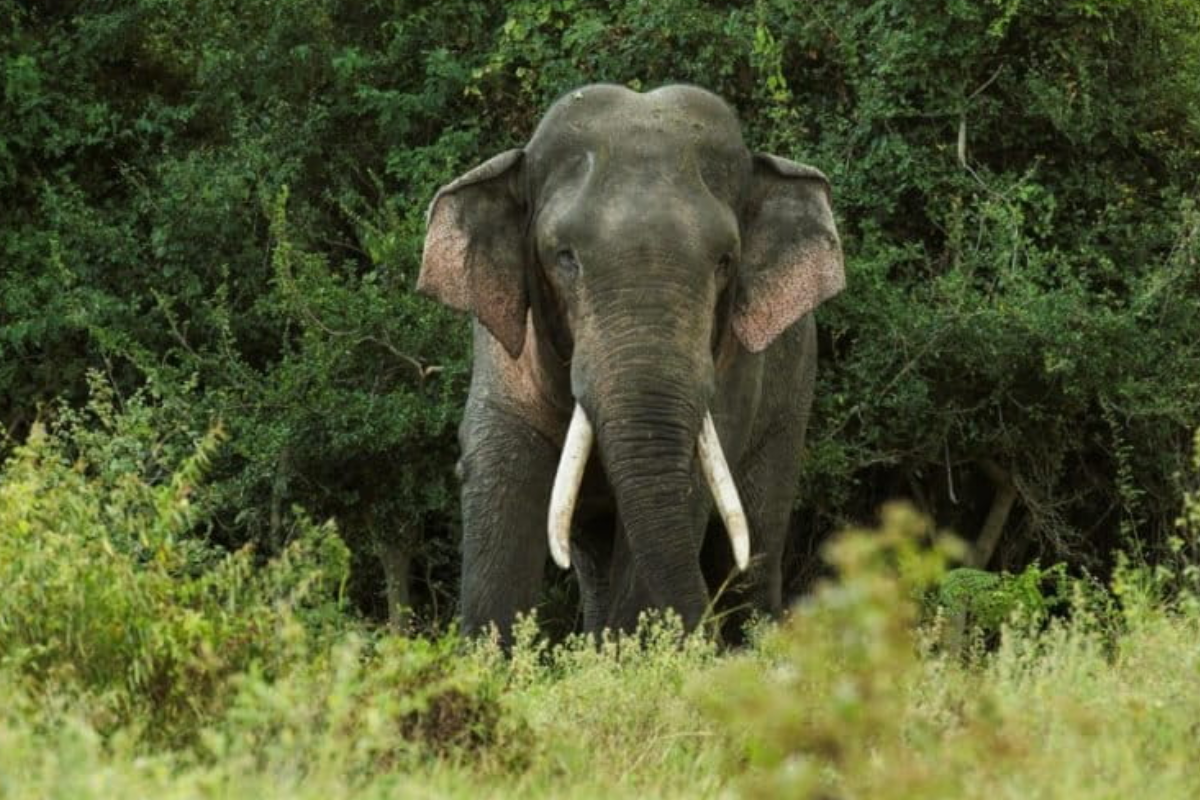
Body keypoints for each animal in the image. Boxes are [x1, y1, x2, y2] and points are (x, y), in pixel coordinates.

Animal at [418, 84, 844, 641]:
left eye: (725, 261)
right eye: (564, 256)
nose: (698, 634)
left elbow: (687, 486)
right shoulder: (506, 354)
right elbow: (499, 466)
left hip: (792, 395)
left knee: (753, 547)